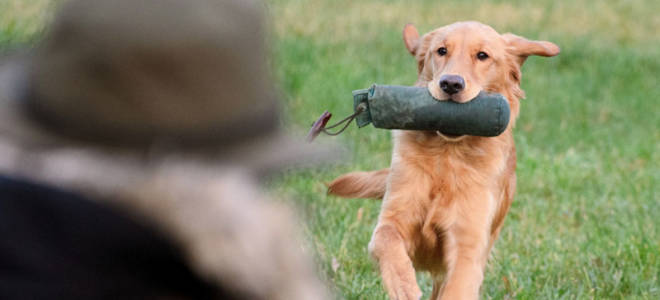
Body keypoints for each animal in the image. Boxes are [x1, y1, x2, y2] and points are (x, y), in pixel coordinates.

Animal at [328, 21, 560, 300]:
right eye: (441, 51)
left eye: (482, 55)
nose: (451, 83)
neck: (447, 155)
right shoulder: (396, 215)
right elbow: (386, 237)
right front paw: (403, 285)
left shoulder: (468, 244)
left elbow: (458, 286)